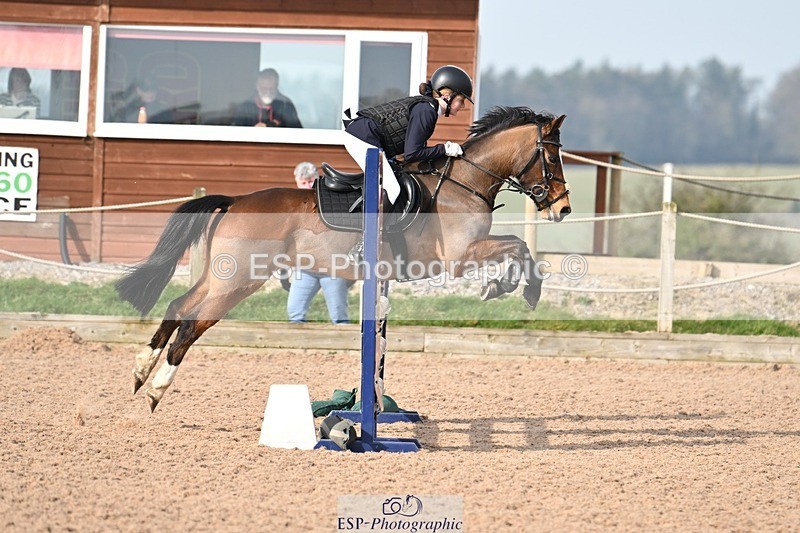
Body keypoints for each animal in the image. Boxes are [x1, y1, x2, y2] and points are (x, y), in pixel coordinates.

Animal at [116, 106, 571, 412]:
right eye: (552, 156)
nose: (564, 209)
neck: (466, 181)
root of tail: (235, 201)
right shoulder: (458, 257)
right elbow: (518, 246)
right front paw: (518, 289)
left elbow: (518, 245)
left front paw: (504, 285)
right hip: (240, 280)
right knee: (193, 323)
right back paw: (155, 390)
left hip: (220, 276)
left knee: (178, 305)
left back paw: (139, 373)